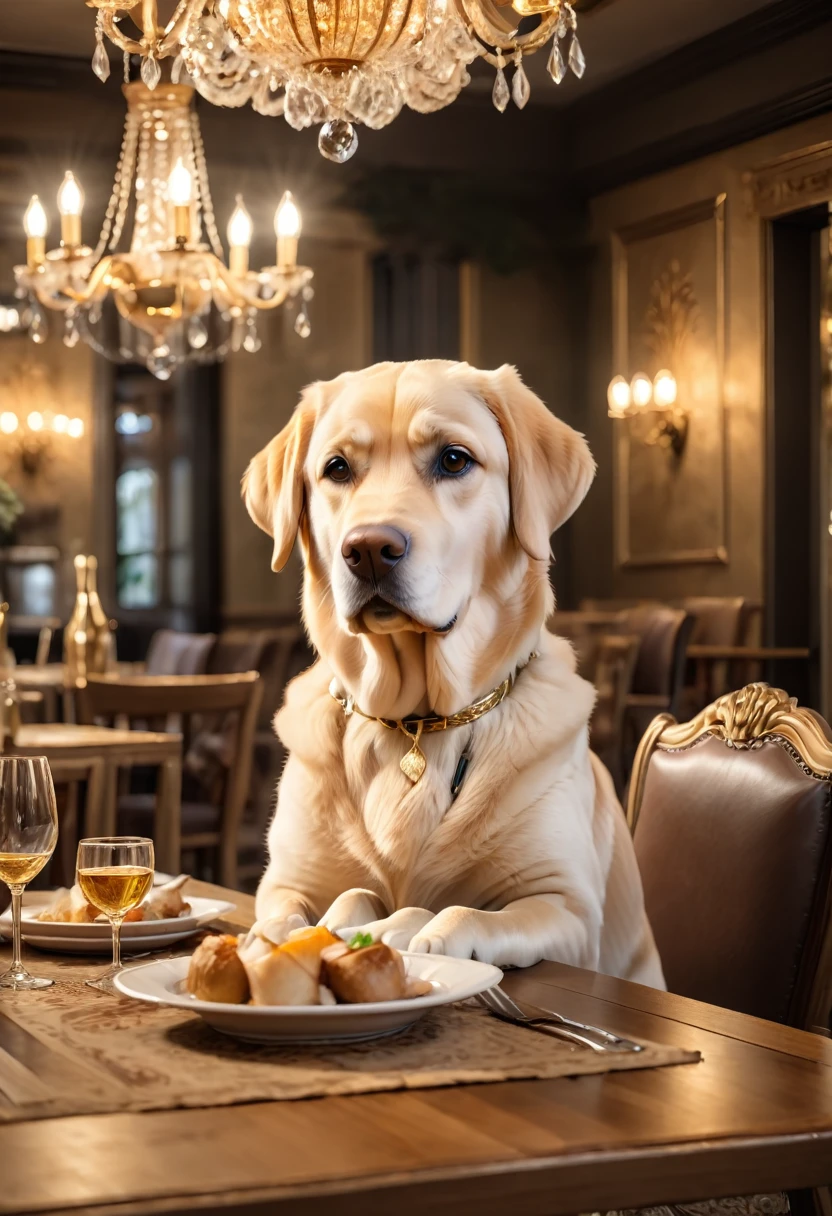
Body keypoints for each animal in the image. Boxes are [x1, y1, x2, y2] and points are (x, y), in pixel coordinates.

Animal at [243, 359, 666, 987]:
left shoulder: (565, 908)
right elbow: (316, 907)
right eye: (337, 468)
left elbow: (466, 911)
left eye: (453, 459)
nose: (369, 549)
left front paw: (413, 928)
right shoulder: (284, 883)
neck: (418, 722)